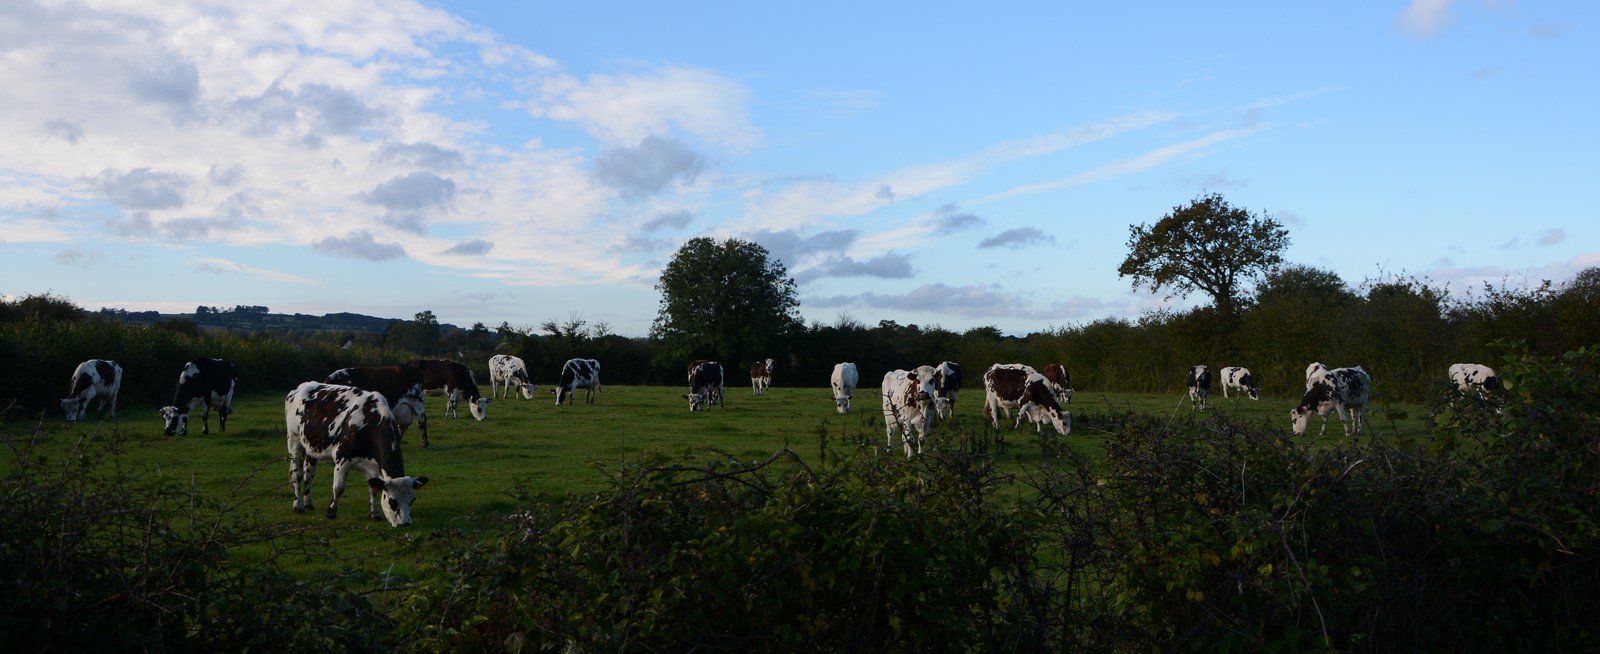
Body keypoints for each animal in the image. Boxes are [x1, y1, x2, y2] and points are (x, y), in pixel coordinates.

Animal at [284, 378, 428, 527]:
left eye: (412, 501)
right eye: (392, 501)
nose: (405, 524)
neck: (370, 423)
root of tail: (301, 387)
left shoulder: (374, 466)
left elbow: (373, 489)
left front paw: (374, 514)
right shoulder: (342, 459)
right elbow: (338, 488)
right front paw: (331, 512)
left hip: (311, 448)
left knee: (309, 473)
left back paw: (308, 503)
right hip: (294, 441)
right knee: (297, 475)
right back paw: (298, 506)